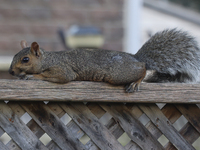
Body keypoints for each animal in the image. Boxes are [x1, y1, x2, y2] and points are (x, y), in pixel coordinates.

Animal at [8, 28, 200, 92]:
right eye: (14, 55)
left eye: (25, 59)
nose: (10, 71)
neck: (48, 60)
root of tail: (135, 57)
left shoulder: (62, 69)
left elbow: (58, 76)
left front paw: (30, 76)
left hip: (118, 74)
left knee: (143, 68)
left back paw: (136, 82)